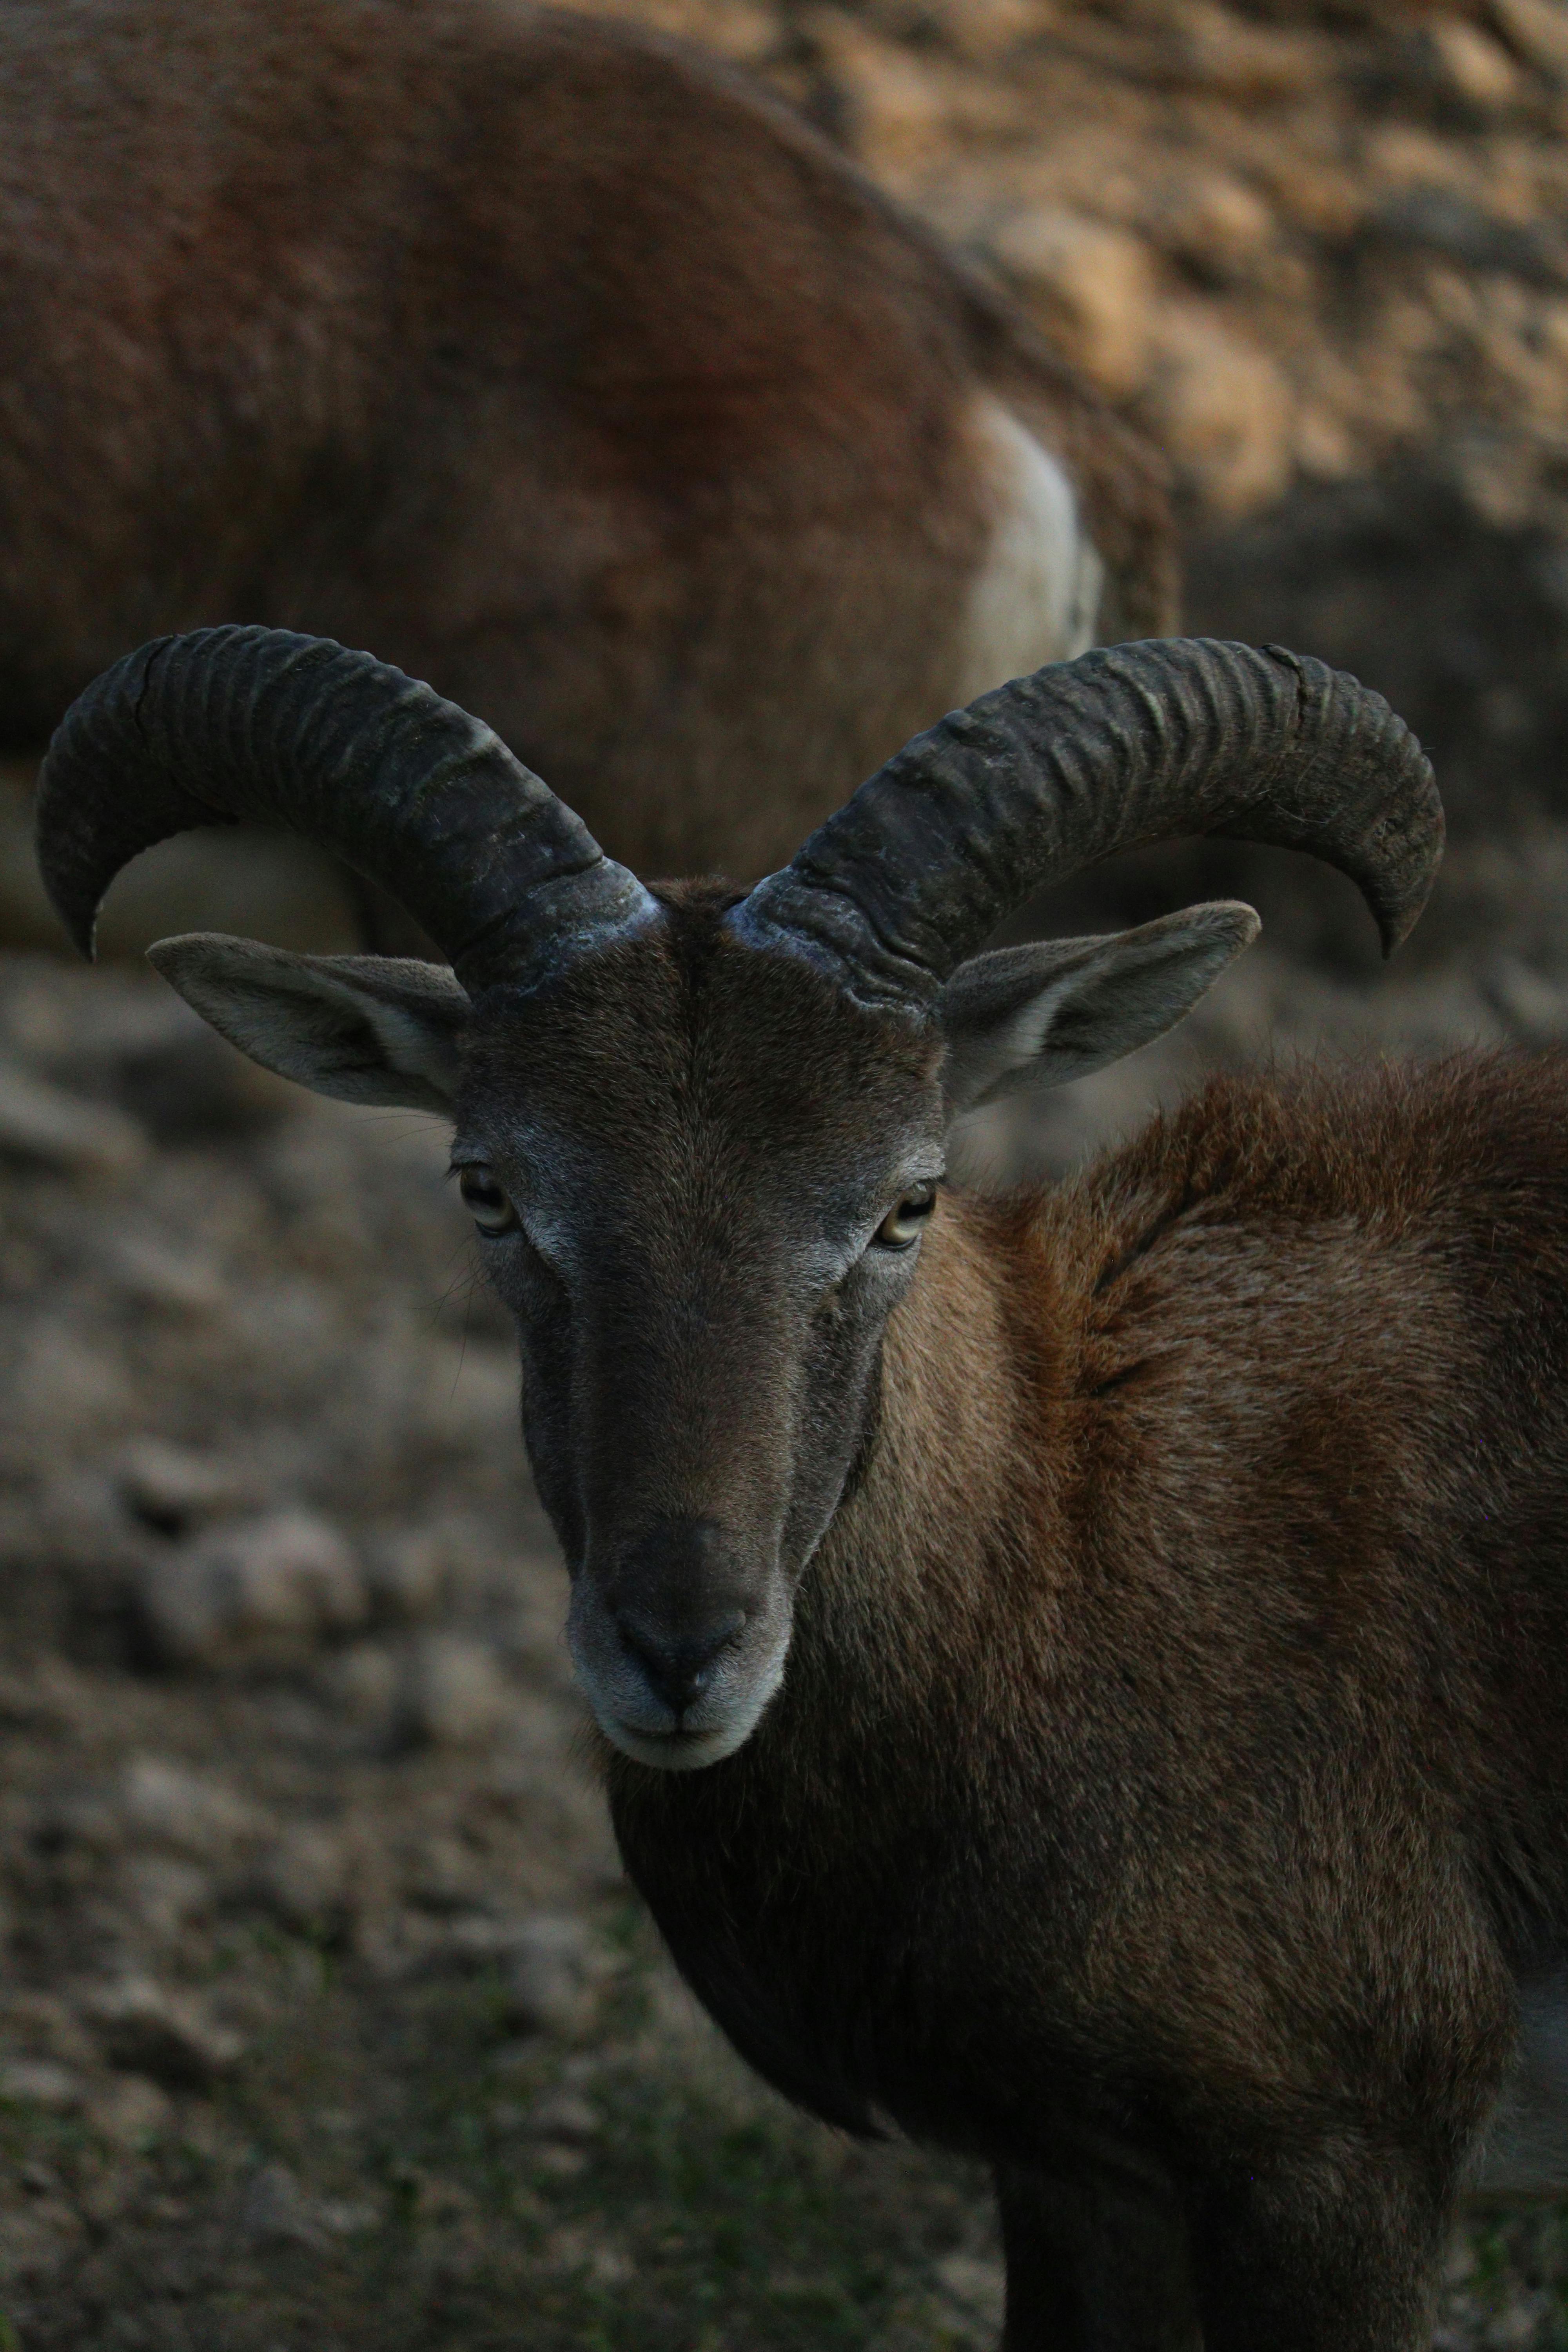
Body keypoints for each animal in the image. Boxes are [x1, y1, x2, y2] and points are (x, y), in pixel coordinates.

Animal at [44, 622, 1568, 2352]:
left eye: (909, 1197)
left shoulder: (1340, 2162)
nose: (678, 1646)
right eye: (489, 1187)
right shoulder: (1081, 2178)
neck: (1086, 1526)